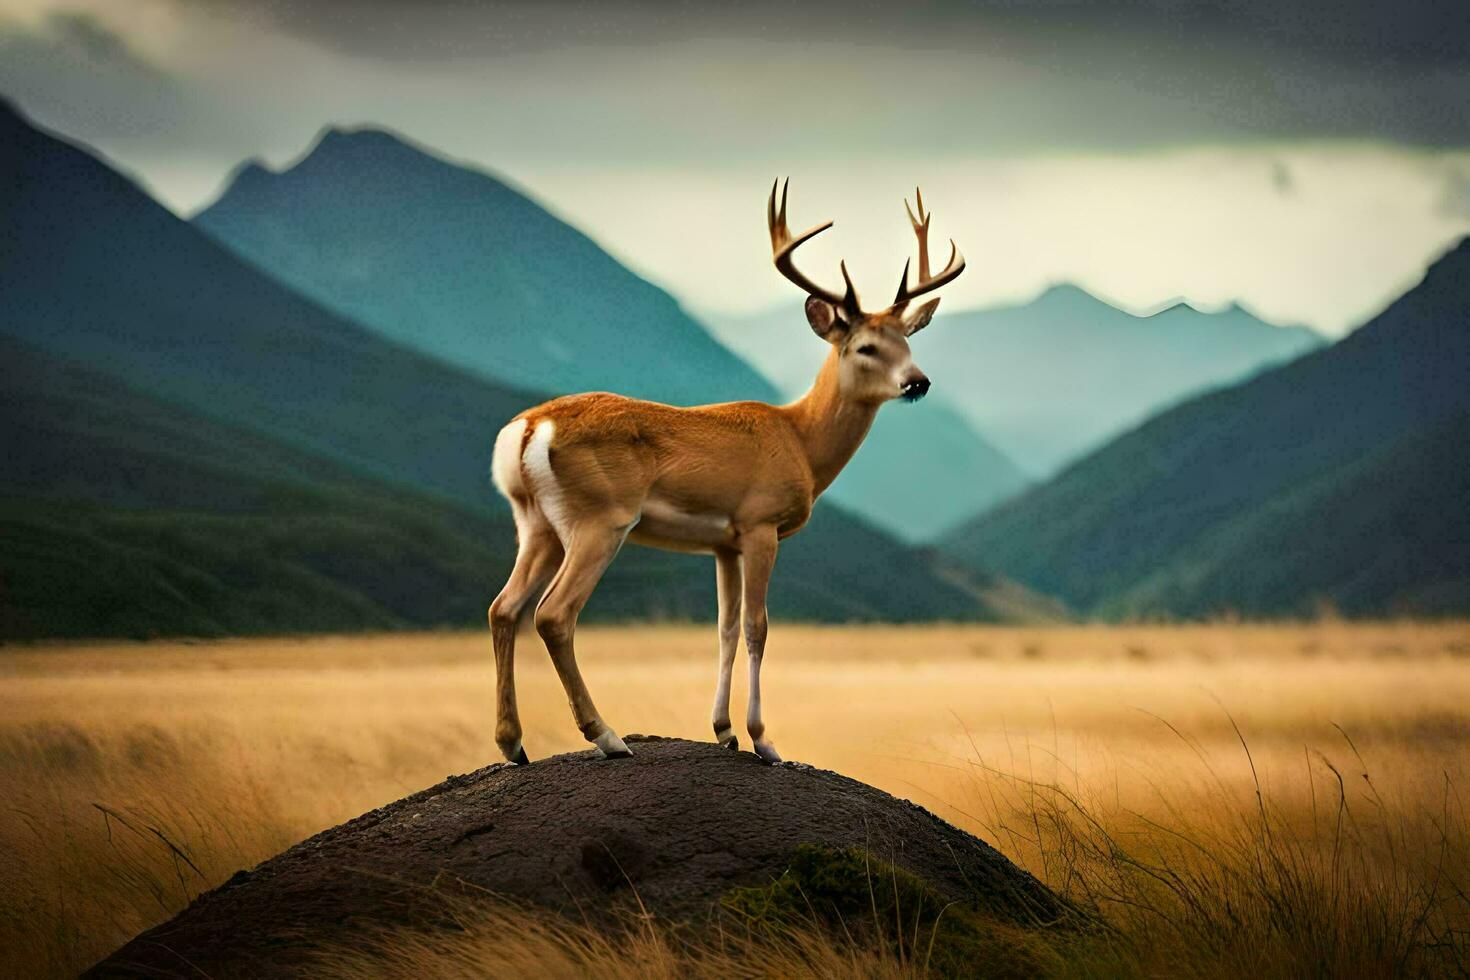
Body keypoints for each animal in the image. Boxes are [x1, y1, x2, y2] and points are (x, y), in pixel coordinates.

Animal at [485, 182, 964, 764]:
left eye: (908, 343)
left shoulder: (723, 543)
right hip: (600, 517)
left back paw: (513, 743)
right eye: (866, 347)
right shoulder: (760, 524)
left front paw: (723, 729)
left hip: (536, 523)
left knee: (503, 607)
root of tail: (530, 429)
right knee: (553, 614)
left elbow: (726, 629)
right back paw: (607, 736)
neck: (801, 440)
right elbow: (758, 627)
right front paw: (763, 739)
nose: (918, 381)